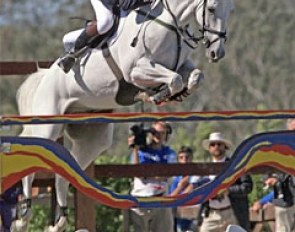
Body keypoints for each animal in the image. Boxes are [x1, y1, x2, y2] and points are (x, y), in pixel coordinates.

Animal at [15, 0, 235, 231]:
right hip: (48, 125)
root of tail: (45, 76)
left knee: (63, 175)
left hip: (93, 139)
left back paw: (59, 221)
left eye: (231, 11)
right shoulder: (136, 71)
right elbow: (174, 79)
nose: (216, 53)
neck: (169, 24)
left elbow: (194, 76)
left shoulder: (180, 66)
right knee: (31, 153)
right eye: (211, 9)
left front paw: (175, 92)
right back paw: (24, 215)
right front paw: (158, 94)